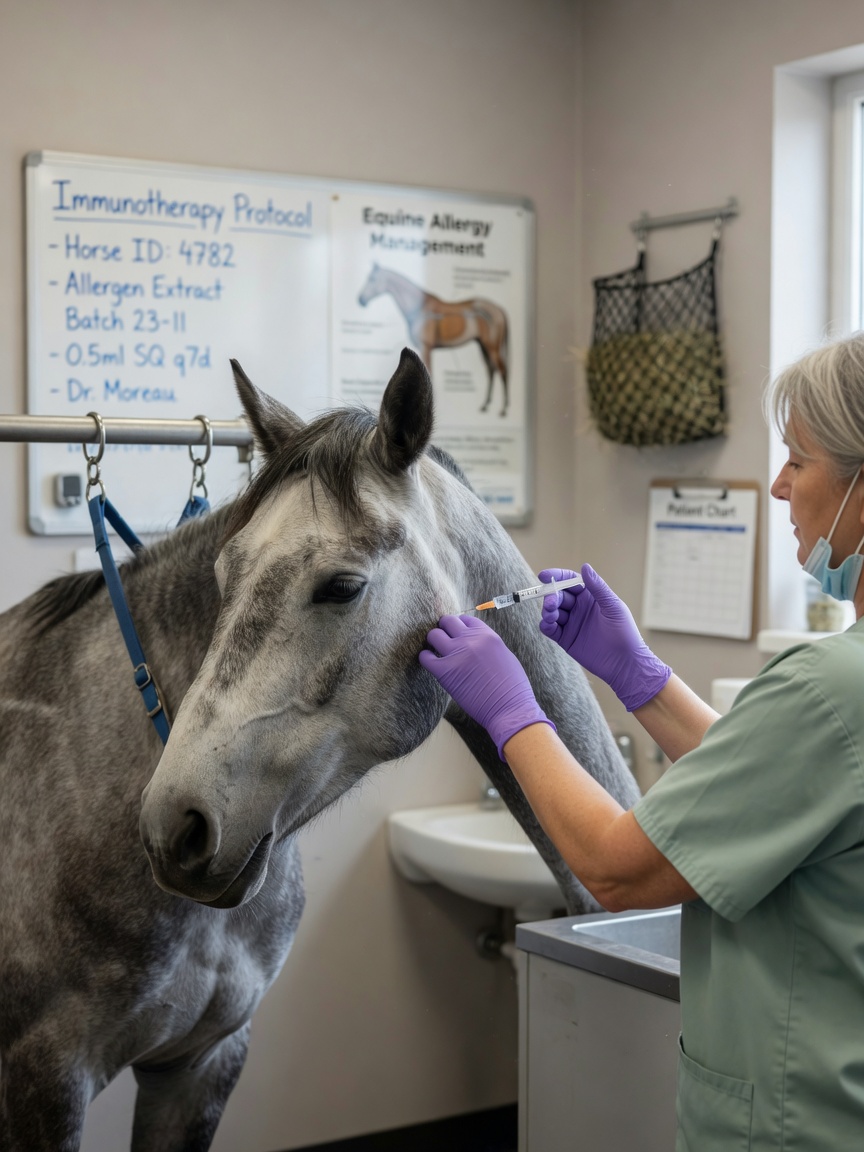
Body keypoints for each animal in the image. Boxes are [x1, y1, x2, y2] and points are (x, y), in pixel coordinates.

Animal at [357, 264, 510, 416]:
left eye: (372, 279)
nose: (360, 300)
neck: (420, 308)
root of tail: (498, 309)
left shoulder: (426, 347)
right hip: (483, 345)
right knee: (491, 370)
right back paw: (485, 405)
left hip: (491, 346)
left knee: (502, 370)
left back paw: (503, 409)